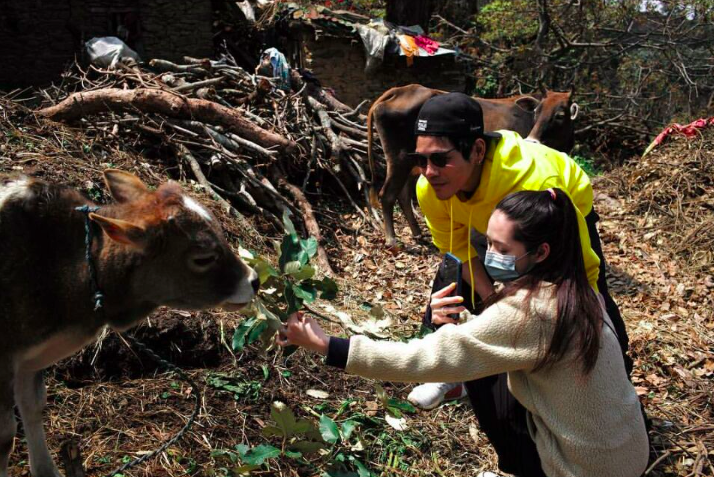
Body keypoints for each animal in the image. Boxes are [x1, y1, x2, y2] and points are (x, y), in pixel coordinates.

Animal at [368, 83, 580, 245]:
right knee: (387, 194)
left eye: (560, 115)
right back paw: (392, 239)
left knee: (403, 195)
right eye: (537, 112)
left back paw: (417, 234)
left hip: (414, 163)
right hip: (399, 159)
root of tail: (401, 89)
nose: (532, 140)